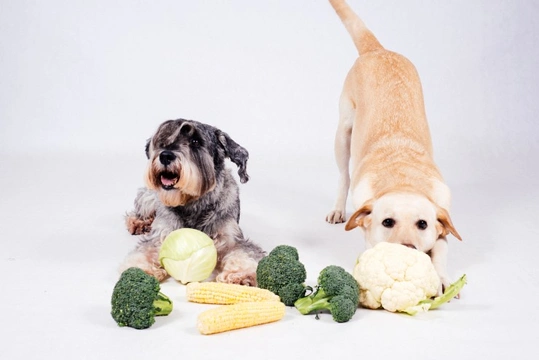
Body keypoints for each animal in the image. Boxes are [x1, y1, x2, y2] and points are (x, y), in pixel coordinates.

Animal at [121, 119, 266, 286]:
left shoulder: (231, 238)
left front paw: (240, 275)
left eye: (195, 141)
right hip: (148, 197)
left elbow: (244, 252)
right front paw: (138, 272)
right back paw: (139, 223)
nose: (165, 155)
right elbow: (145, 250)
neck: (192, 203)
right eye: (163, 140)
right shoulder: (161, 235)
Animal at [326, 0, 462, 294]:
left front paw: (441, 277)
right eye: (387, 222)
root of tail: (378, 50)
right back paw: (338, 208)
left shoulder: (442, 222)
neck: (403, 180)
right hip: (343, 133)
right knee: (343, 175)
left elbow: (441, 249)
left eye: (422, 224)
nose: (408, 248)